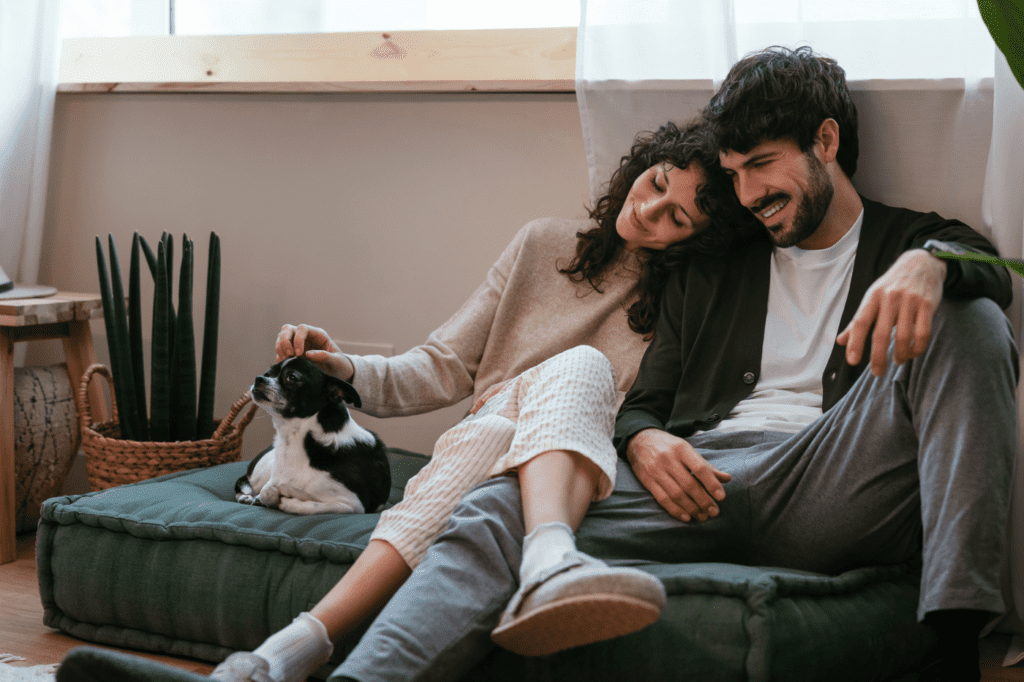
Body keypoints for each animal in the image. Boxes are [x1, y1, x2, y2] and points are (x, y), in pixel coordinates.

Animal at [235, 356, 391, 509]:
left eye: (291, 378)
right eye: (268, 373)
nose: (259, 378)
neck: (293, 438)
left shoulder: (350, 503)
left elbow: (299, 504)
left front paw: (285, 497)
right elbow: (267, 489)